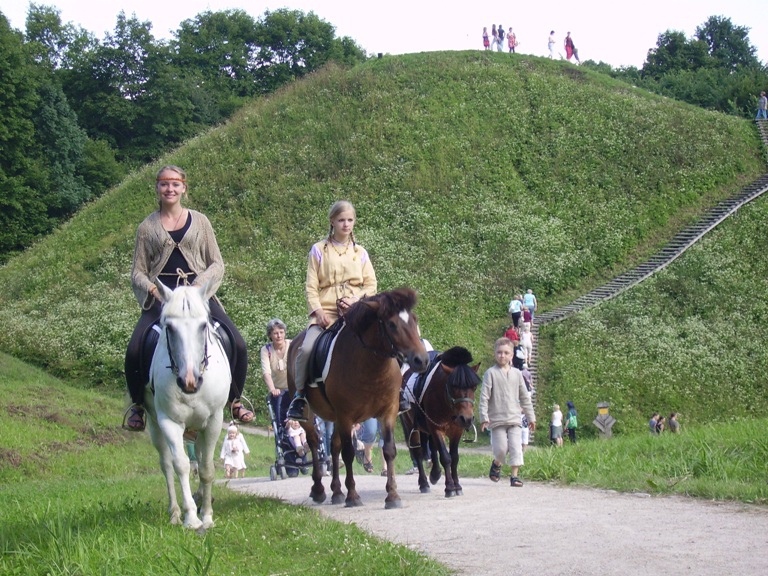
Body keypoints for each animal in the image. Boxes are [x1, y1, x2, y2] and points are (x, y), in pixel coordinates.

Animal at [142, 280, 230, 532]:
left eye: (203, 326)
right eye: (169, 327)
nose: (189, 381)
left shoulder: (214, 421)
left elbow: (207, 467)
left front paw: (207, 515)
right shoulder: (168, 421)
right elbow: (180, 465)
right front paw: (191, 517)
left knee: (199, 457)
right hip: (155, 425)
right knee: (167, 464)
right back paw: (175, 512)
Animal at [290, 288, 432, 508]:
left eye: (414, 320)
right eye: (391, 324)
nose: (422, 360)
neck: (370, 366)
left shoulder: (388, 412)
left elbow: (388, 450)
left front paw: (392, 496)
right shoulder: (346, 416)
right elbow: (348, 453)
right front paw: (353, 496)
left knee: (333, 446)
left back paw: (336, 491)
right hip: (312, 414)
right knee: (314, 442)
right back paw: (319, 490)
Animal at [402, 344, 480, 498]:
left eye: (474, 387)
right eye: (453, 386)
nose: (467, 419)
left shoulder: (456, 430)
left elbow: (454, 458)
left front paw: (457, 486)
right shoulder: (436, 428)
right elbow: (445, 457)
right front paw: (450, 488)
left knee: (432, 448)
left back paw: (435, 474)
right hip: (411, 426)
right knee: (418, 453)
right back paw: (424, 483)